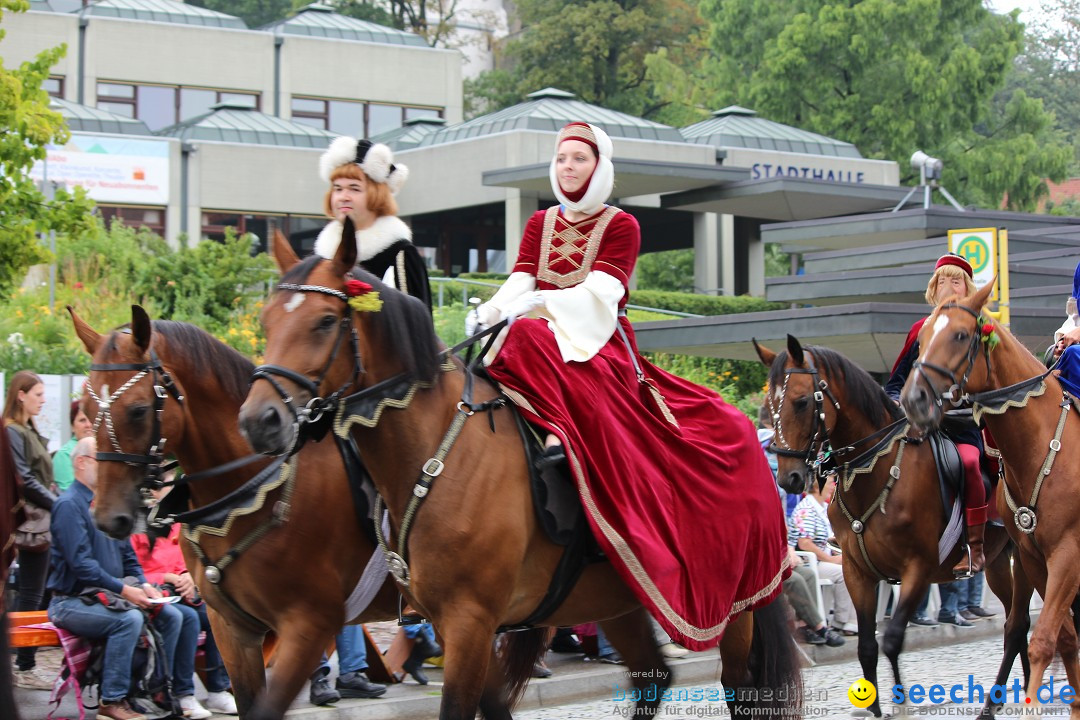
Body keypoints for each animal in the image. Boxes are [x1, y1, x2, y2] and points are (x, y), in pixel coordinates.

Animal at [67, 308, 399, 720]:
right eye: (86, 409)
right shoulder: (233, 631)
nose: (107, 518)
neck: (253, 490)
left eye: (139, 410)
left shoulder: (308, 627)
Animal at [234, 232, 803, 720]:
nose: (259, 422)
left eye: (326, 321)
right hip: (620, 599)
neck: (437, 450)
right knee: (654, 676)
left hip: (731, 608)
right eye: (265, 318)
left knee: (738, 688)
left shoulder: (467, 620)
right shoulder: (455, 624)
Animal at [760, 338, 1028, 720]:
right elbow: (867, 647)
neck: (877, 469)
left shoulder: (918, 568)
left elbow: (891, 639)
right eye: (769, 406)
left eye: (800, 401)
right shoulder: (857, 573)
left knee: (1020, 624)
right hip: (999, 562)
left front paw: (898, 704)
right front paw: (872, 706)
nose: (788, 478)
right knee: (1018, 625)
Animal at [902, 280, 1080, 716]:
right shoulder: (1033, 557)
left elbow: (1043, 640)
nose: (913, 399)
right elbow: (1058, 635)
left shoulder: (1068, 553)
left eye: (960, 335)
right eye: (922, 339)